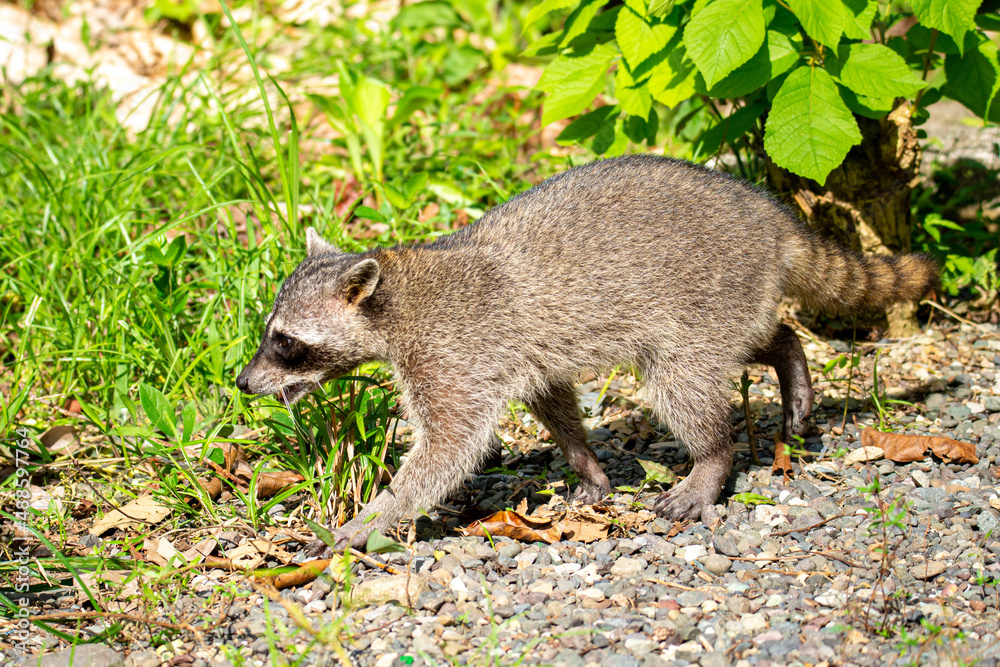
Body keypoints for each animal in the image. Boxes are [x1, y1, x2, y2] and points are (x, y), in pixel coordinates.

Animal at [236, 155, 936, 552]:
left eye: (285, 343)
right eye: (269, 333)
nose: (244, 384)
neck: (397, 296)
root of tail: (769, 217)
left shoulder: (453, 351)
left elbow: (450, 447)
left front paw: (374, 517)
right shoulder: (517, 351)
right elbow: (550, 398)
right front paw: (587, 466)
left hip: (701, 289)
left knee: (682, 381)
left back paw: (712, 458)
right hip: (730, 293)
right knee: (757, 333)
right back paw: (788, 355)